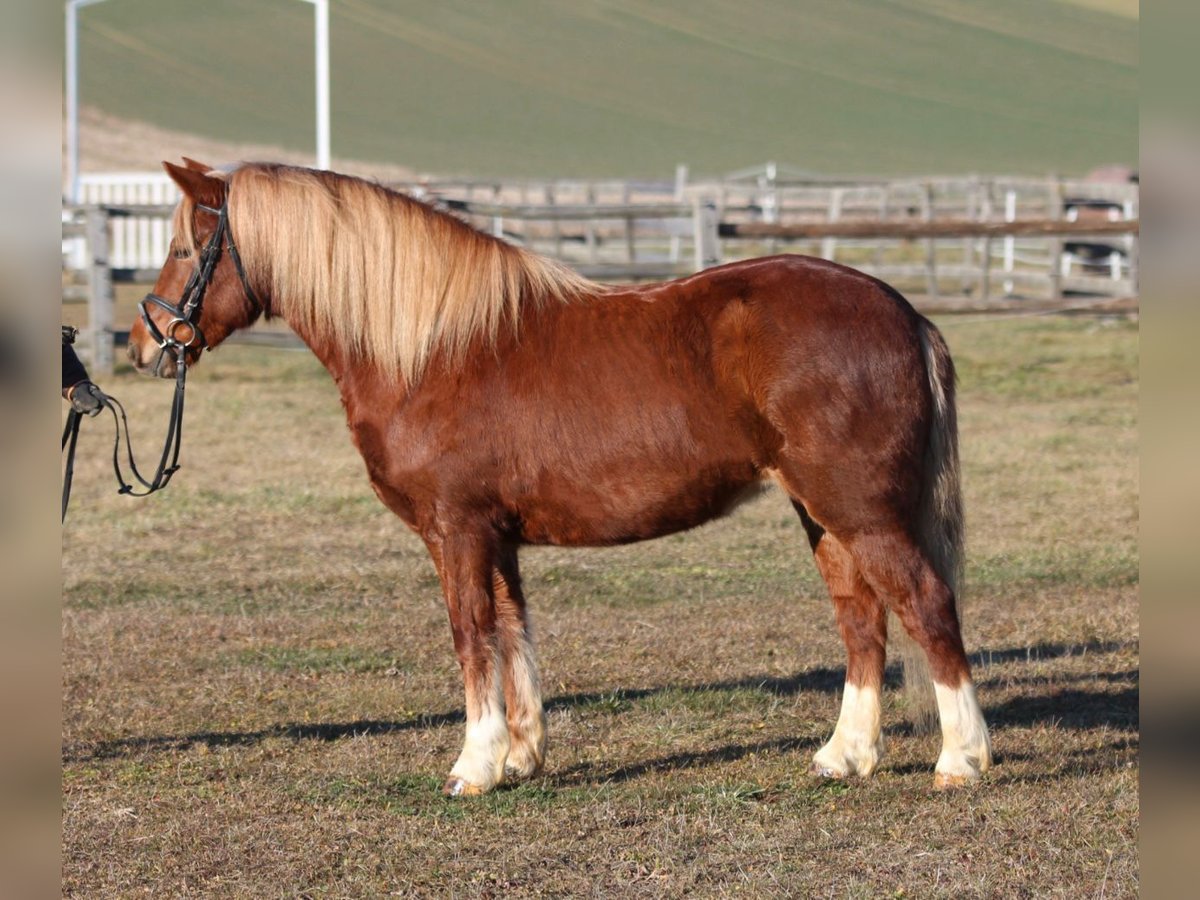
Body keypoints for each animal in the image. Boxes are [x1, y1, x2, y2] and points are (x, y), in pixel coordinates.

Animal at [129, 162, 993, 796]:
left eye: (184, 248)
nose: (146, 345)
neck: (430, 347)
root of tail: (902, 312)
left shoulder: (456, 530)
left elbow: (472, 636)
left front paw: (473, 766)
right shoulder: (496, 538)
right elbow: (514, 636)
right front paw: (520, 756)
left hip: (863, 512)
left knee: (926, 604)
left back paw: (961, 759)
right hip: (824, 513)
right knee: (862, 620)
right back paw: (845, 756)